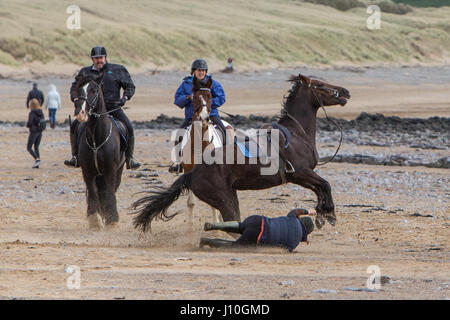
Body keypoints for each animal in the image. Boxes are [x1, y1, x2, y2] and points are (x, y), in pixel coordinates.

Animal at [72, 73, 127, 230]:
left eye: (94, 90)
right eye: (79, 90)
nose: (80, 113)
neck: (97, 138)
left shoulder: (111, 170)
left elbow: (109, 192)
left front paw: (112, 219)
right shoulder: (87, 170)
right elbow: (92, 192)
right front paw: (94, 219)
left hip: (119, 169)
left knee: (111, 189)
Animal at [132, 74, 350, 231]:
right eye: (320, 85)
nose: (345, 92)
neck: (297, 132)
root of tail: (193, 172)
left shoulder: (300, 176)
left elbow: (320, 188)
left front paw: (321, 214)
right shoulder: (300, 172)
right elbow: (325, 185)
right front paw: (328, 214)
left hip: (230, 196)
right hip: (224, 199)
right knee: (231, 221)